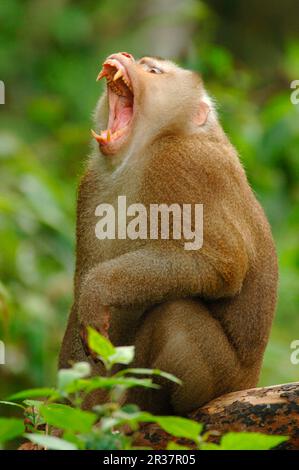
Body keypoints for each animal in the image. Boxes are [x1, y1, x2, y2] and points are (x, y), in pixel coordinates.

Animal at [58, 49, 278, 414]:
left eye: (154, 71)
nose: (127, 56)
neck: (142, 151)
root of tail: (250, 379)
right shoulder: (91, 184)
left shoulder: (184, 165)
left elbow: (221, 265)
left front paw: (99, 289)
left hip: (220, 376)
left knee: (174, 314)